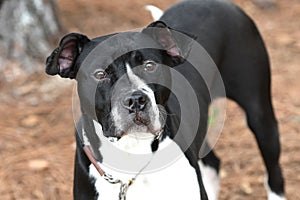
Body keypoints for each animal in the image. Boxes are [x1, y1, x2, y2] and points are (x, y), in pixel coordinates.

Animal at [45, 0, 284, 200]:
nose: (136, 100)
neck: (133, 153)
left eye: (150, 66)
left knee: (274, 172)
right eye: (100, 74)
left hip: (259, 112)